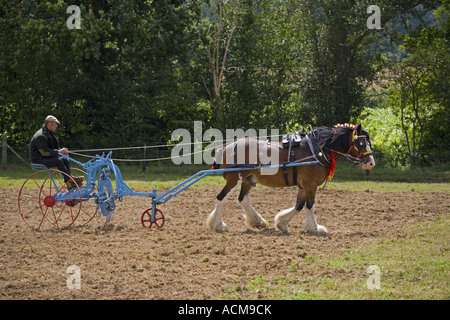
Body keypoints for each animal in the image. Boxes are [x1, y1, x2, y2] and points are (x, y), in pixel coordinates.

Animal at [207, 123, 376, 235]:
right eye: (361, 143)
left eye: (368, 142)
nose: (371, 163)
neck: (317, 149)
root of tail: (228, 147)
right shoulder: (310, 185)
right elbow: (310, 206)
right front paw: (315, 228)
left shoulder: (303, 186)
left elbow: (299, 205)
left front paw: (282, 223)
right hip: (234, 178)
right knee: (221, 198)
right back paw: (218, 225)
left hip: (248, 179)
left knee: (243, 200)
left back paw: (257, 221)